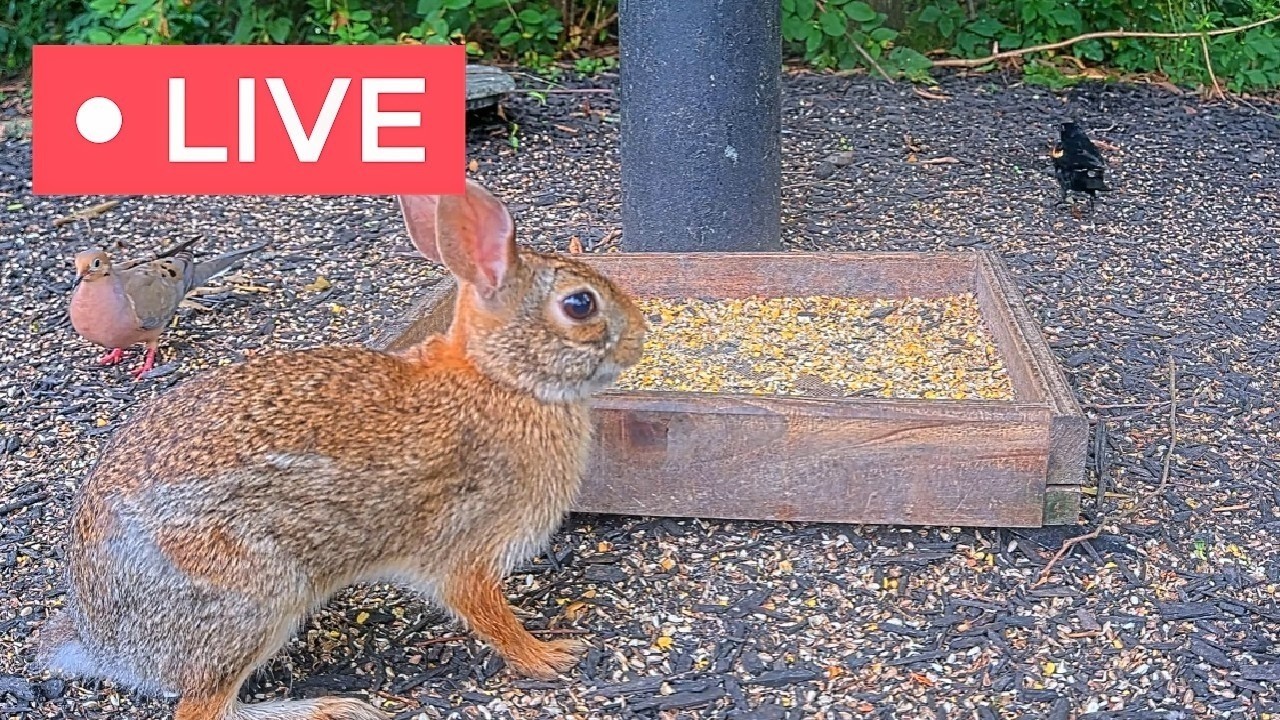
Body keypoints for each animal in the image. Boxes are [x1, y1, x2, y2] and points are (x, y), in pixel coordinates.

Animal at [36, 179, 648, 720]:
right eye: (580, 304)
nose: (640, 337)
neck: (502, 378)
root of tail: (101, 642)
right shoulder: (465, 553)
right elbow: (489, 615)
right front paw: (547, 656)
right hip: (254, 598)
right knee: (202, 708)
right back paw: (330, 707)